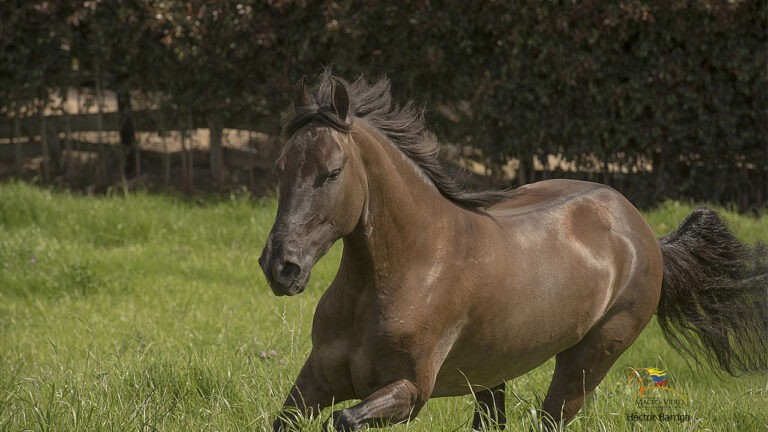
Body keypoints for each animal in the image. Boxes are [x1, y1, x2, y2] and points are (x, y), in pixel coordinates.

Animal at [258, 72, 768, 431]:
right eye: (280, 167)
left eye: (332, 172)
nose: (281, 268)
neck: (408, 269)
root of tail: (643, 232)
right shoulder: (317, 378)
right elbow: (287, 419)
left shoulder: (409, 391)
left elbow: (343, 419)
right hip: (489, 376)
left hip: (586, 363)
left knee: (553, 415)